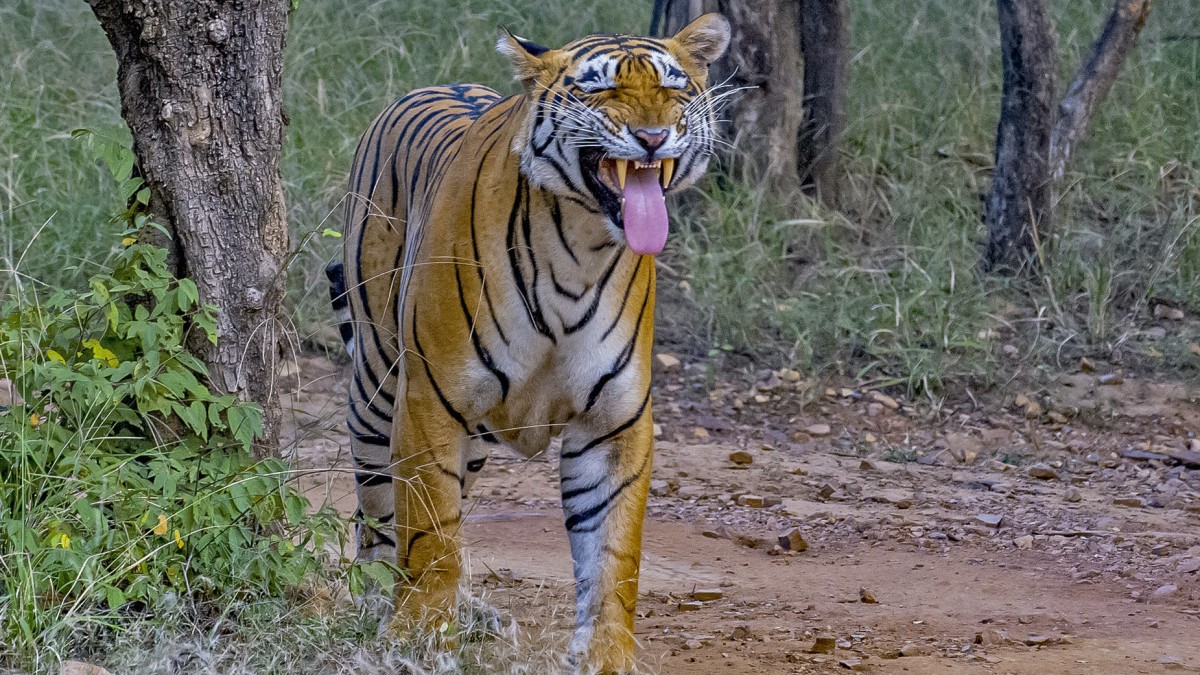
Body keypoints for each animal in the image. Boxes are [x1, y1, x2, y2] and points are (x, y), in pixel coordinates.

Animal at [328, 13, 729, 667]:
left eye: (674, 88)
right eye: (599, 88)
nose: (652, 137)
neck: (580, 248)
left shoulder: (614, 418)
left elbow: (614, 551)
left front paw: (606, 655)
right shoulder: (431, 399)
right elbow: (429, 530)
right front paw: (418, 635)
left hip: (471, 438)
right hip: (378, 386)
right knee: (379, 512)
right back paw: (374, 601)